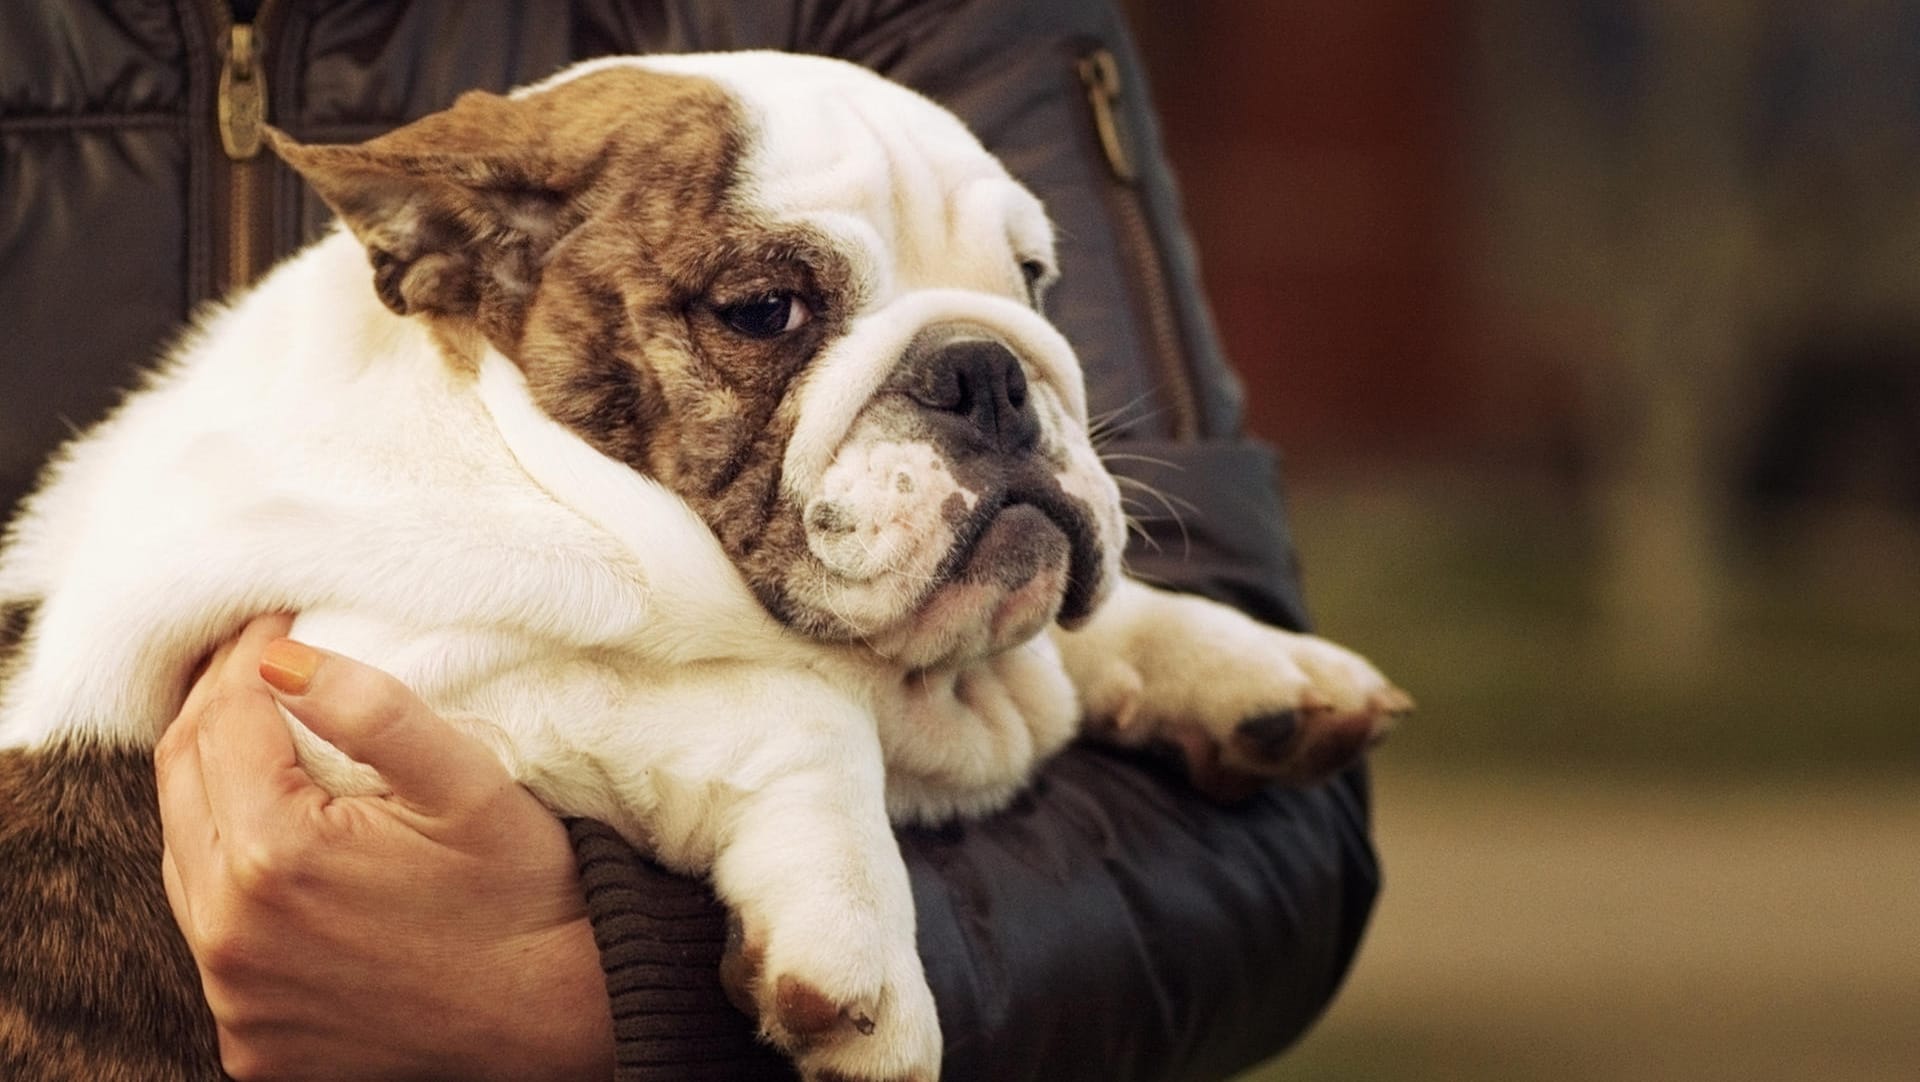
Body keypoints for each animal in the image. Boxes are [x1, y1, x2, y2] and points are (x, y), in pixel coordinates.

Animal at [0, 52, 1413, 1082]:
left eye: (1033, 279)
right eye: (763, 310)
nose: (989, 367)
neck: (525, 450)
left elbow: (1074, 633)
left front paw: (1252, 667)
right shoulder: (363, 685)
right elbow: (777, 695)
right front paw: (857, 949)